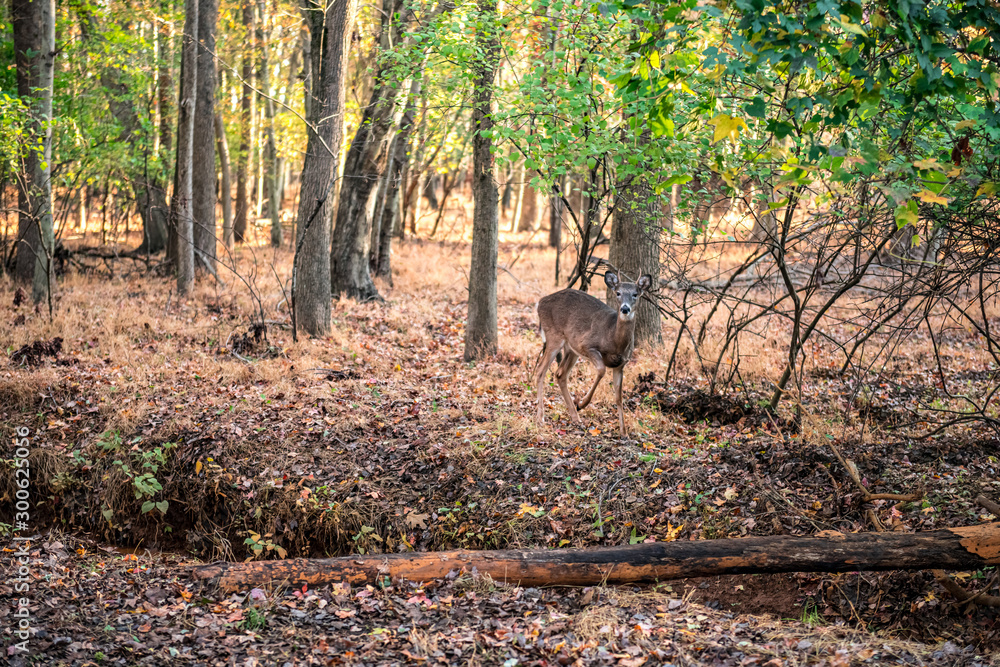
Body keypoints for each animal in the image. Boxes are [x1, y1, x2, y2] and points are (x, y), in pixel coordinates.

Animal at [533, 271, 653, 437]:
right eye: (618, 293)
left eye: (635, 294)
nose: (625, 309)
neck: (613, 338)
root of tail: (540, 302)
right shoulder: (588, 346)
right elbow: (601, 370)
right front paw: (582, 403)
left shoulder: (621, 364)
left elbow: (618, 397)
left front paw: (624, 432)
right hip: (554, 336)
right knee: (541, 370)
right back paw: (541, 418)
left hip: (571, 348)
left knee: (560, 374)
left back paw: (575, 417)